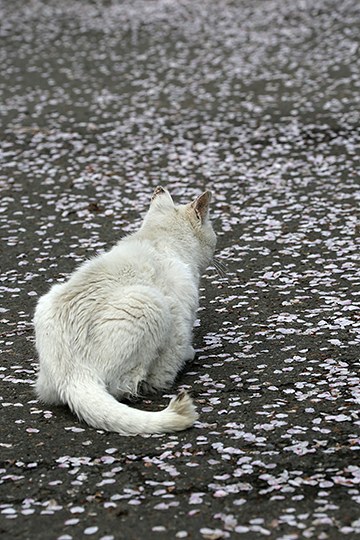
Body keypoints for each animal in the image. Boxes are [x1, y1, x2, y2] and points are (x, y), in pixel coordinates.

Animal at [33, 188, 215, 436]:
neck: (157, 238)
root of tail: (71, 377)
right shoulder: (179, 315)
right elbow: (171, 360)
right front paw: (187, 354)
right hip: (149, 304)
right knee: (126, 386)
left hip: (45, 302)